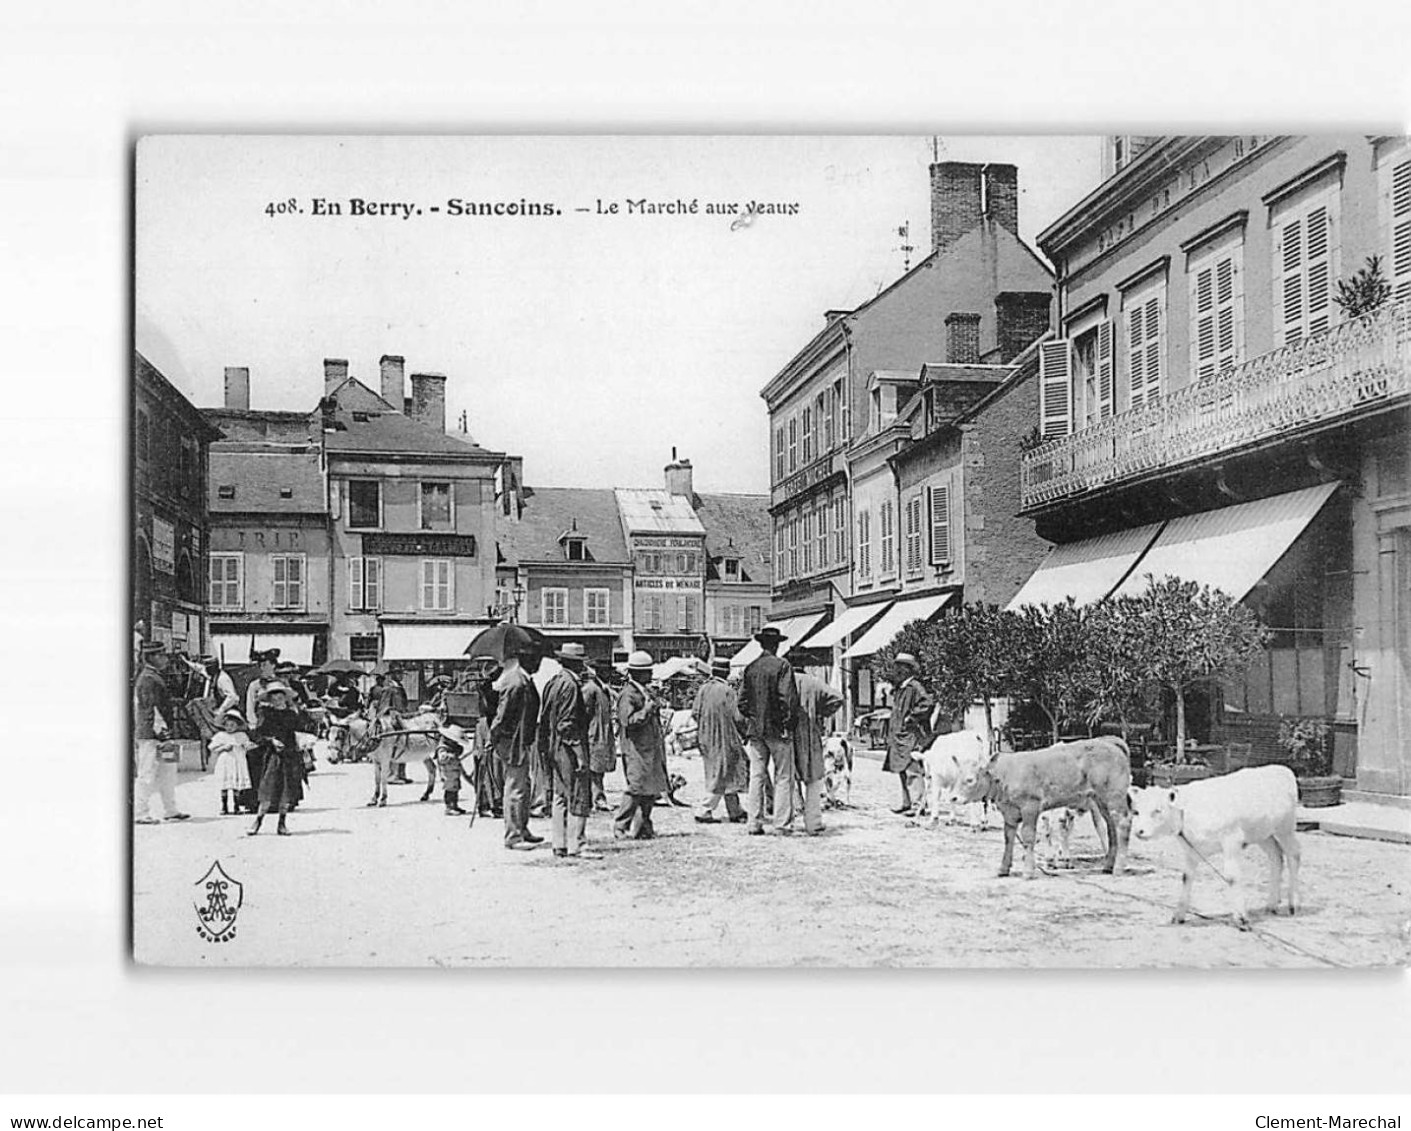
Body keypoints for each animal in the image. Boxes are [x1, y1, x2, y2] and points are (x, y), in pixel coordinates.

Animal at [948, 733, 1134, 874]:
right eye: (957, 777)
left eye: (970, 779)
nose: (953, 798)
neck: (1005, 774)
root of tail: (1109, 742)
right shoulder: (1009, 812)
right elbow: (1009, 837)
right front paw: (1004, 868)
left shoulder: (1030, 807)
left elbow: (1028, 835)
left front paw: (1028, 870)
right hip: (1102, 801)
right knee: (1111, 828)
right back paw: (1108, 865)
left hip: (1114, 797)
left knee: (1123, 824)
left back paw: (1119, 867)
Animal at [1128, 761, 1303, 930]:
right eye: (1136, 811)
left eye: (1157, 810)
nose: (1139, 831)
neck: (1187, 813)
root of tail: (1282, 769)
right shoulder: (1191, 849)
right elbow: (1186, 877)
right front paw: (1178, 915)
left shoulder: (1232, 840)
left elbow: (1232, 877)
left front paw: (1241, 919)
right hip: (1262, 834)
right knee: (1276, 856)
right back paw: (1271, 904)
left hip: (1285, 828)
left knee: (1294, 854)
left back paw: (1293, 903)